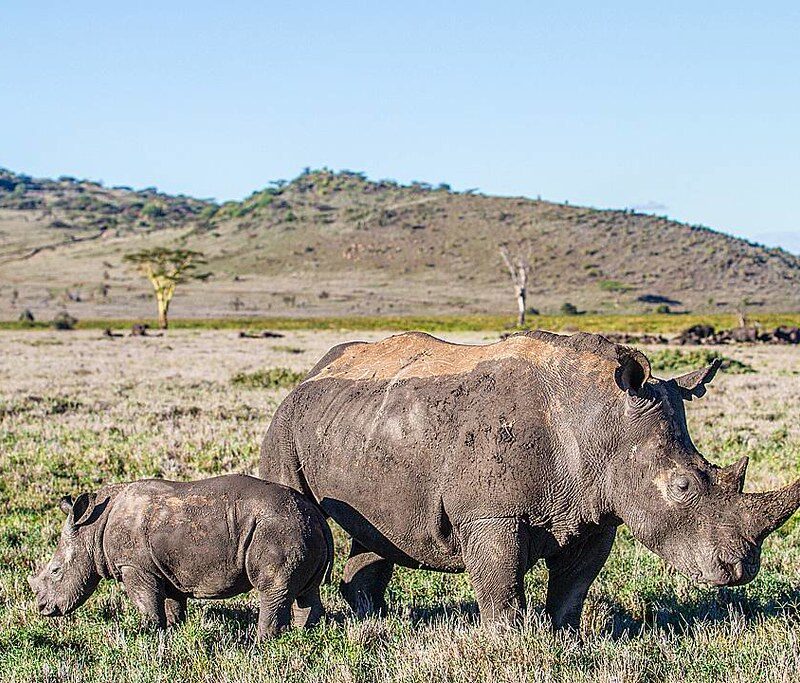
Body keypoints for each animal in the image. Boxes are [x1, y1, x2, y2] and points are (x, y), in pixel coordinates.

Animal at [28, 474, 333, 639]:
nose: (43, 608)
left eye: (55, 571)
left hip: (278, 529)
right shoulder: (168, 566)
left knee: (273, 589)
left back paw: (261, 644)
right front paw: (173, 629)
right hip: (301, 529)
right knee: (307, 592)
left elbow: (146, 602)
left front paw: (147, 633)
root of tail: (318, 516)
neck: (92, 529)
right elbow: (173, 601)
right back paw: (306, 636)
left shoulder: (135, 566)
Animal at [259, 330, 800, 628]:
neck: (600, 418)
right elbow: (501, 588)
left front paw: (567, 640)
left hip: (361, 422)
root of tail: (310, 372)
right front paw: (509, 645)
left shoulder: (596, 510)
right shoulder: (489, 514)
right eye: (683, 487)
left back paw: (370, 623)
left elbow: (572, 589)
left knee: (376, 531)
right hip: (284, 421)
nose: (741, 569)